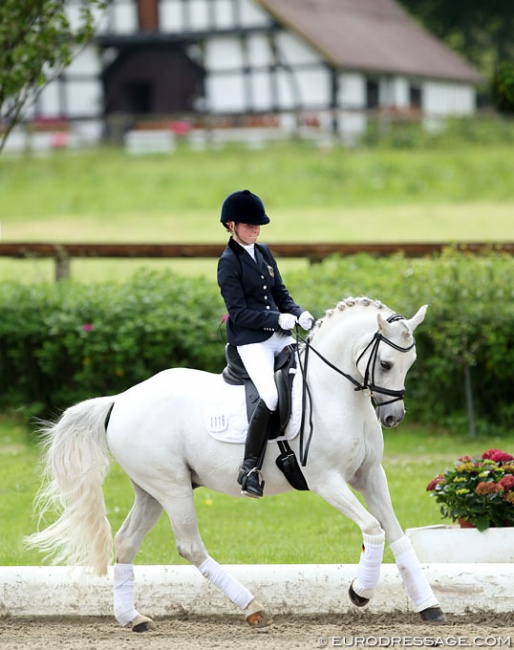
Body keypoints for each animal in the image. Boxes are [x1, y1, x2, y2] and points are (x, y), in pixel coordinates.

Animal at [27, 298, 444, 628]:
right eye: (386, 364)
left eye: (411, 362)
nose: (393, 418)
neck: (336, 392)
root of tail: (120, 400)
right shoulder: (326, 480)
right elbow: (373, 528)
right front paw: (360, 592)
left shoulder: (369, 475)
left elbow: (397, 534)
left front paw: (429, 606)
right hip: (172, 488)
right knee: (190, 546)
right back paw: (253, 608)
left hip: (151, 491)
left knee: (126, 542)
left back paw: (133, 619)